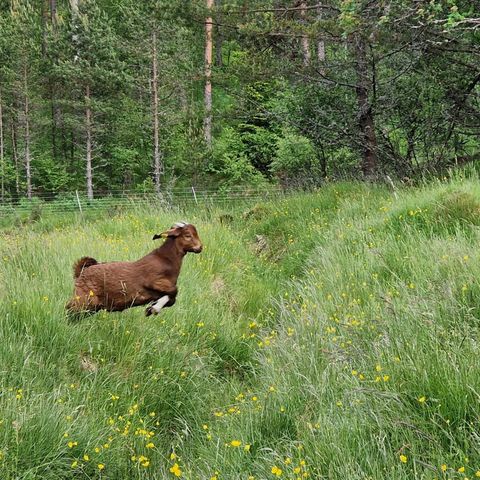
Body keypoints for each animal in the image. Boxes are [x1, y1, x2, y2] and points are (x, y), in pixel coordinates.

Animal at [66, 223, 202, 316]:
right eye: (188, 235)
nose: (200, 247)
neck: (166, 259)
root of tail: (81, 271)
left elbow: (172, 299)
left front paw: (151, 308)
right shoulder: (154, 281)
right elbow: (174, 291)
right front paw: (153, 308)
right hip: (83, 299)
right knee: (69, 309)